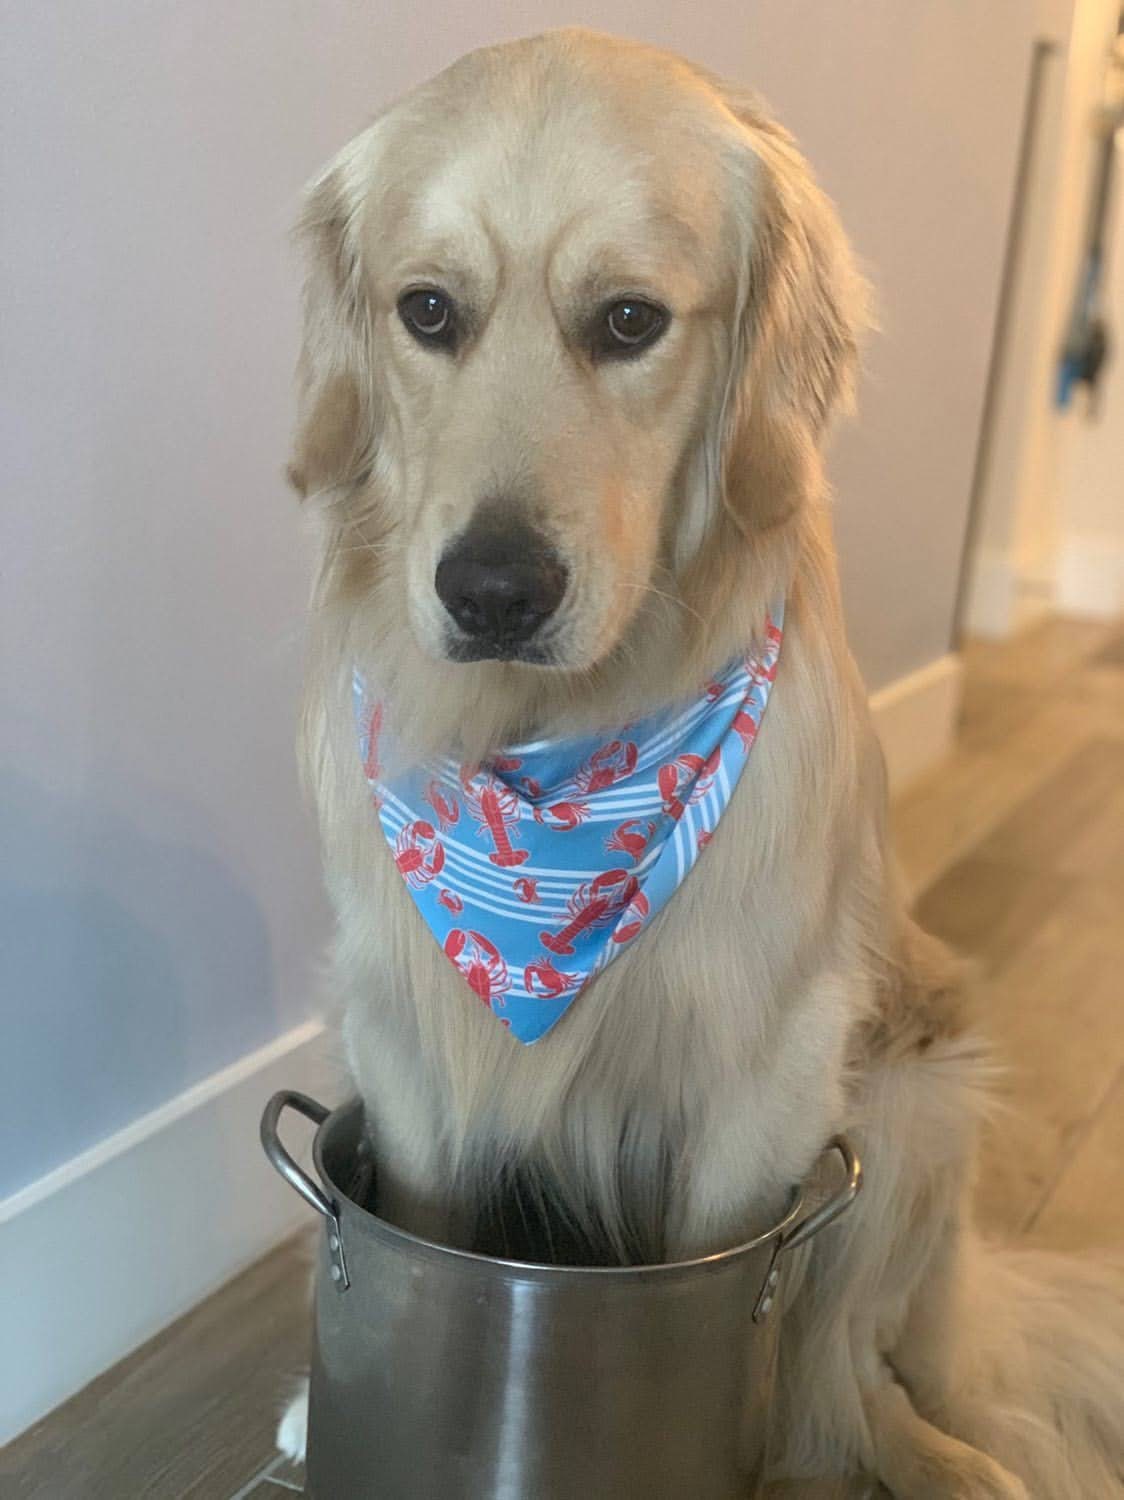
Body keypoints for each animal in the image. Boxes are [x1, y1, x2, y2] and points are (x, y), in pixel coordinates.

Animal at [279, 26, 1122, 1500]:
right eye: (427, 311)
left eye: (629, 323)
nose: (491, 591)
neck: (546, 760)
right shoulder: (409, 1044)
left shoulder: (768, 1071)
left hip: (918, 1104)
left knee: (848, 1382)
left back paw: (955, 1462)